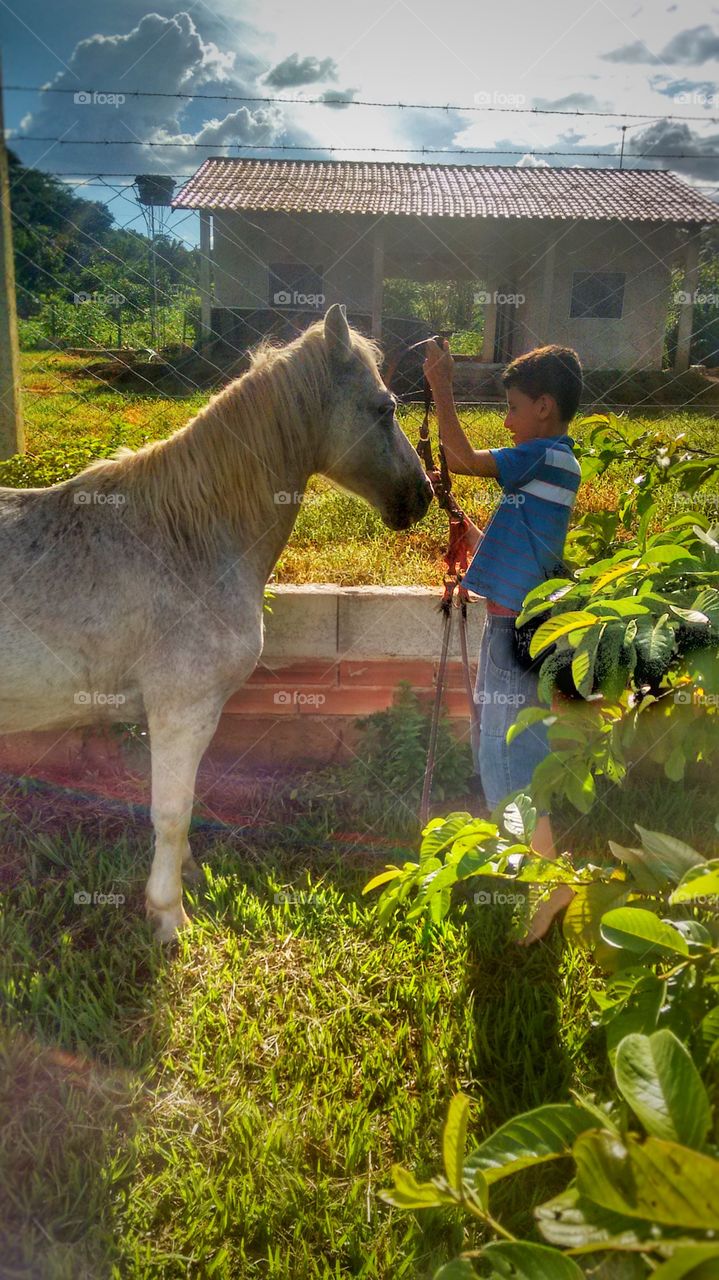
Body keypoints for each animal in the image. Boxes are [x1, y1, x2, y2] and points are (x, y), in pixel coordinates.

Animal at [0, 304, 433, 941]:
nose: (421, 495)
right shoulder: (184, 711)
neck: (186, 538)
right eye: (386, 408)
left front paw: (189, 878)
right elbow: (172, 812)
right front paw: (167, 915)